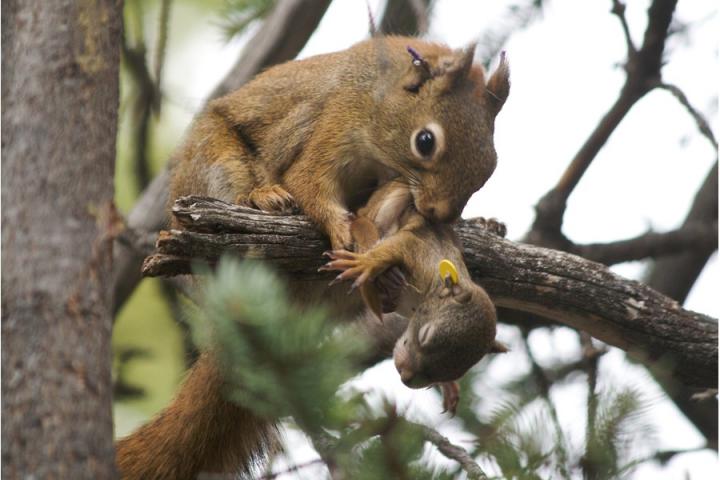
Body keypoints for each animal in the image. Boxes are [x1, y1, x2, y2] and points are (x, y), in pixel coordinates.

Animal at [169, 35, 509, 249]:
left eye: (492, 165)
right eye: (425, 142)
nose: (440, 214)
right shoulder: (336, 124)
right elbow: (307, 181)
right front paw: (341, 228)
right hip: (215, 162)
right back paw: (263, 196)